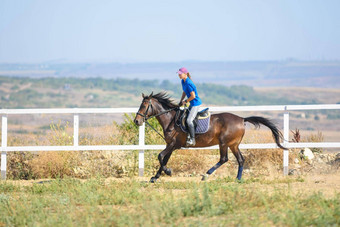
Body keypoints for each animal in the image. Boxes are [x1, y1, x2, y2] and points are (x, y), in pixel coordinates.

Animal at [134, 91, 286, 182]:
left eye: (144, 106)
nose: (136, 121)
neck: (171, 119)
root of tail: (242, 119)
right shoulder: (170, 145)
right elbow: (164, 159)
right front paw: (156, 176)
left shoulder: (173, 145)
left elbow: (160, 156)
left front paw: (167, 171)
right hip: (233, 145)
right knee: (241, 160)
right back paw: (237, 179)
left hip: (224, 143)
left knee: (224, 159)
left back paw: (206, 174)